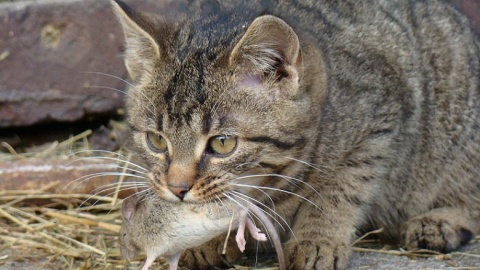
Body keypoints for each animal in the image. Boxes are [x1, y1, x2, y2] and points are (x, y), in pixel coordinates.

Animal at [110, 0, 480, 268]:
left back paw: (438, 222)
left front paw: (317, 239)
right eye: (157, 140)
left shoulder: (380, 122)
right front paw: (211, 240)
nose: (177, 189)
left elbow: (340, 190)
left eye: (222, 143)